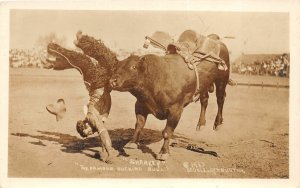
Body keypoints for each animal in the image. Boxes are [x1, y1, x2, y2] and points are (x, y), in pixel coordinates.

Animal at [41, 30, 231, 162]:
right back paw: (201, 124)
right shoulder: (140, 105)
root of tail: (215, 40)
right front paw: (132, 143)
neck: (154, 80)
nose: (113, 80)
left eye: (132, 68)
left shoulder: (176, 110)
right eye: (118, 67)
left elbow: (167, 132)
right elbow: (138, 124)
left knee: (220, 99)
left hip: (222, 79)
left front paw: (163, 153)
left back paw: (218, 124)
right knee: (205, 100)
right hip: (204, 85)